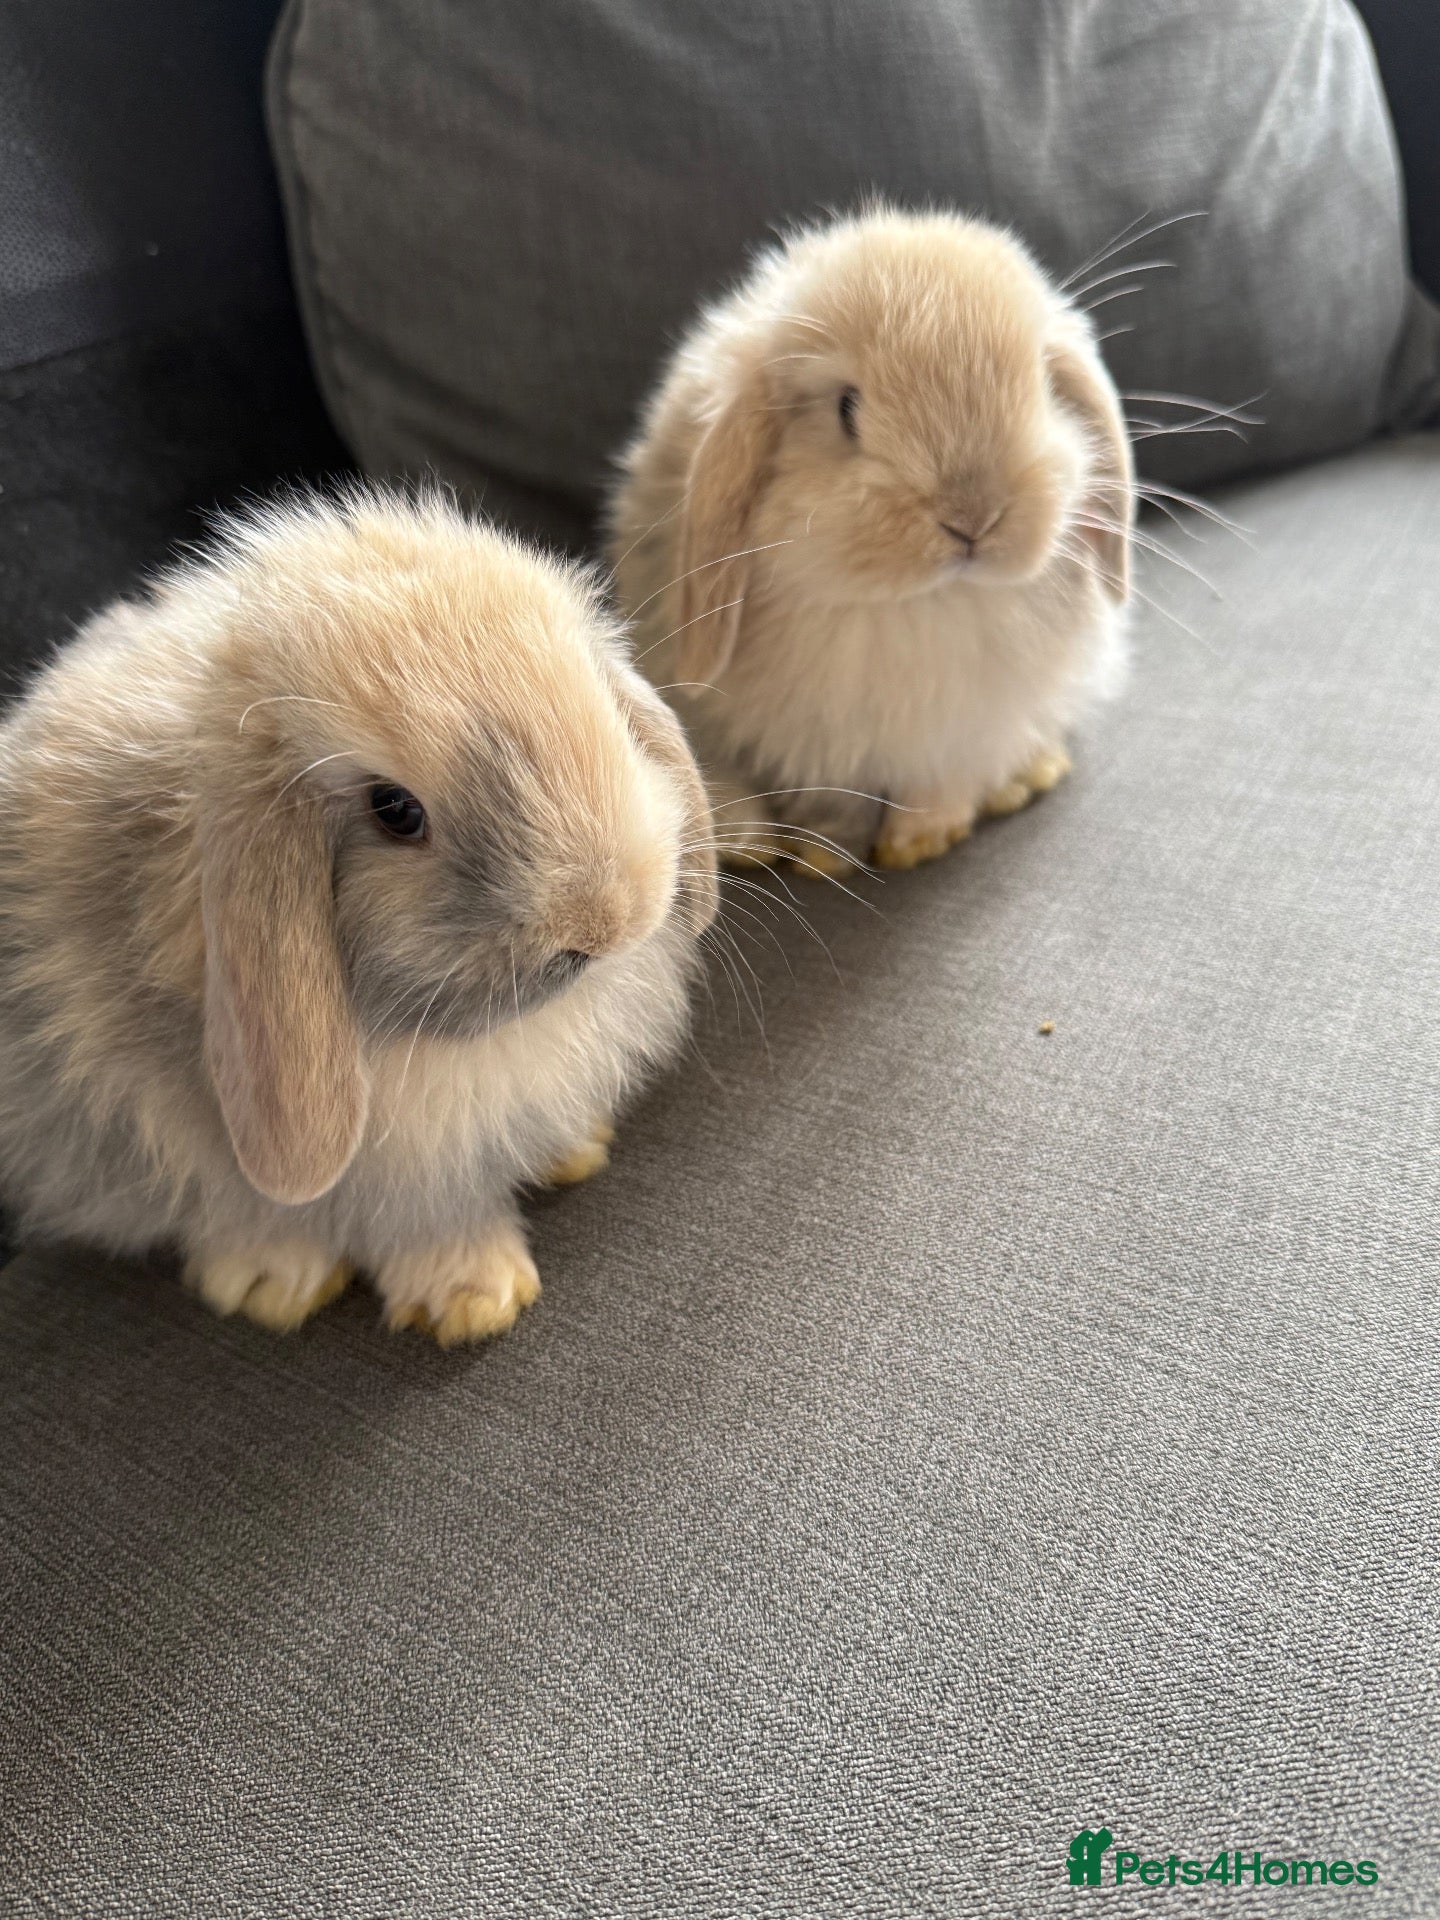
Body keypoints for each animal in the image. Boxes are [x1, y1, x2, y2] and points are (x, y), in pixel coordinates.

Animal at [0, 489, 717, 1344]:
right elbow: (419, 1219)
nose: (603, 920)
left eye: (604, 708)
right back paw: (273, 1283)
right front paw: (474, 1302)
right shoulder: (393, 1166)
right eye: (395, 810)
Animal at [608, 205, 1134, 875]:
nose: (973, 518)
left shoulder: (969, 734)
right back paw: (748, 844)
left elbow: (942, 786)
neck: (923, 605)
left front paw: (919, 842)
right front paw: (822, 855)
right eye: (846, 408)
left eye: (1044, 387)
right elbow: (829, 799)